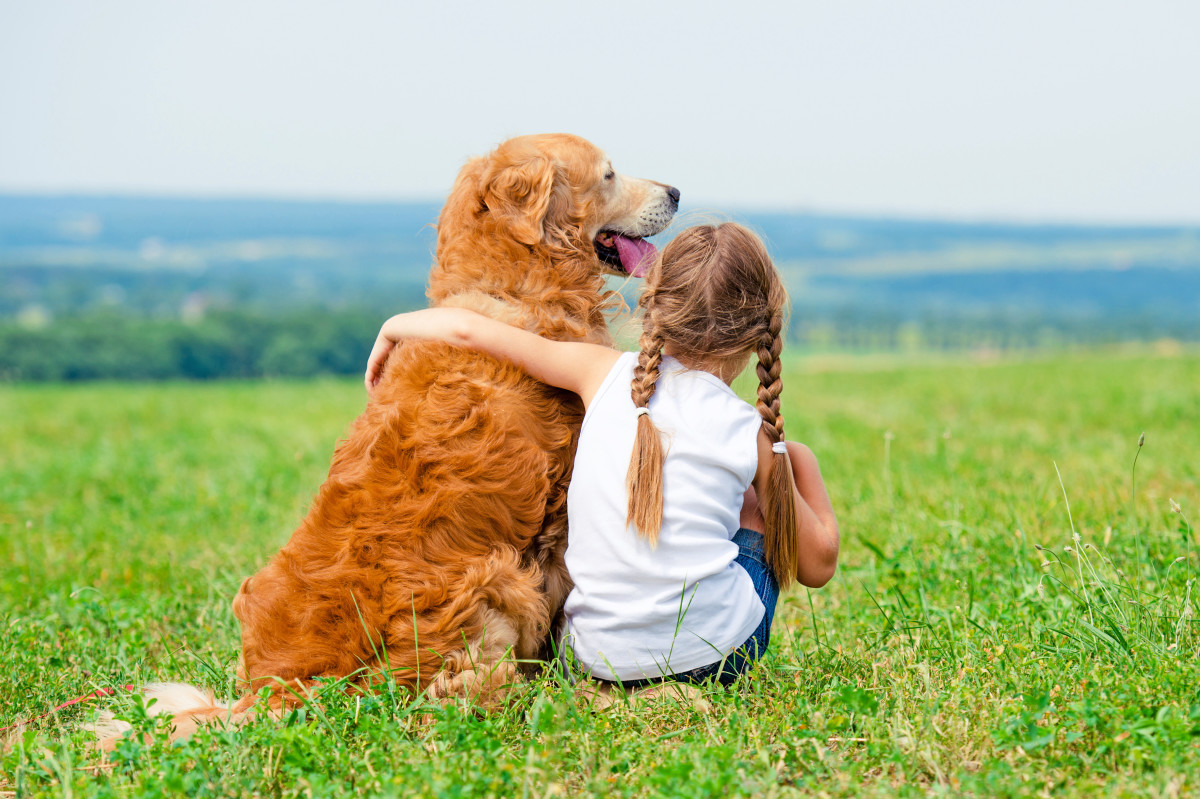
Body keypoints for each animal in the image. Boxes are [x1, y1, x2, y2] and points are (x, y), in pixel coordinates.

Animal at [96, 133, 676, 743]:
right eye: (609, 174)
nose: (677, 193)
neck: (509, 287)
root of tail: (280, 692)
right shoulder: (558, 517)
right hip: (496, 579)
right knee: (480, 697)